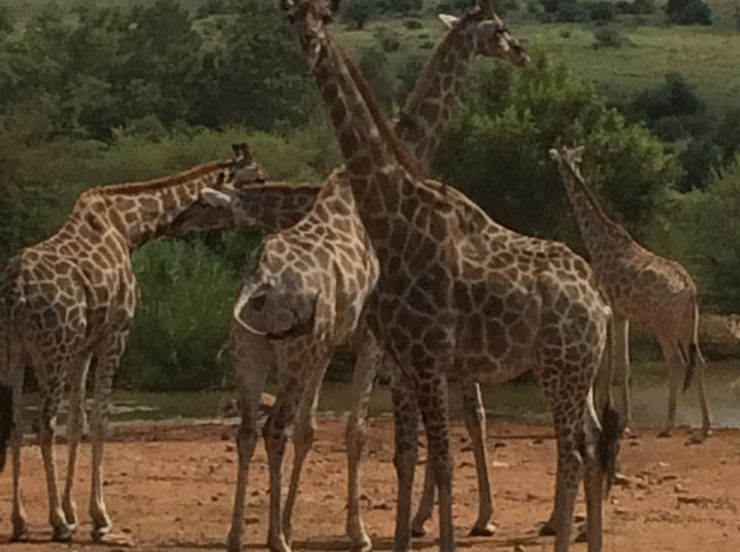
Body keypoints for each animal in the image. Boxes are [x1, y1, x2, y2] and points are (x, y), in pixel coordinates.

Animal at [0, 143, 264, 544]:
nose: (261, 216)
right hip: (52, 349)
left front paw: (75, 511)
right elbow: (101, 418)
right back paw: (57, 523)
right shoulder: (116, 333)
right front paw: (98, 518)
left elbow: (77, 421)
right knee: (42, 424)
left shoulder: (84, 345)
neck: (129, 228)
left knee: (16, 423)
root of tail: (16, 287)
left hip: (16, 350)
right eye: (259, 178)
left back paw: (21, 522)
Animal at [548, 146, 712, 440]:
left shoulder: (610, 309)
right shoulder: (622, 314)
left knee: (677, 364)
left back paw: (668, 425)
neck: (598, 239)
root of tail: (689, 288)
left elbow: (612, 366)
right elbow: (623, 367)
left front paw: (617, 421)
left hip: (664, 325)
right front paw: (624, 421)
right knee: (701, 362)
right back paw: (705, 427)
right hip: (689, 324)